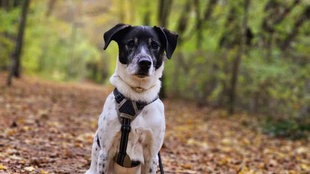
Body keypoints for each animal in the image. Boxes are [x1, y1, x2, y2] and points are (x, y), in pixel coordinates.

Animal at [85, 23, 177, 174]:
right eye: (130, 43)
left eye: (155, 45)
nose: (145, 62)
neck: (137, 95)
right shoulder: (105, 152)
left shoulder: (152, 156)